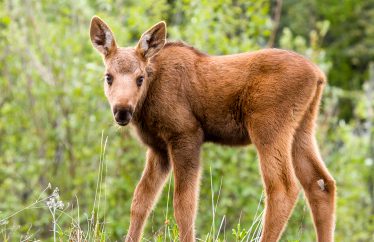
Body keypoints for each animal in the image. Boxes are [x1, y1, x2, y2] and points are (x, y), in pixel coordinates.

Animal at [90, 17, 336, 242]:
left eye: (140, 78)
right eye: (108, 77)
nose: (122, 111)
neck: (147, 103)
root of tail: (319, 75)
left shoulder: (186, 135)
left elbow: (184, 203)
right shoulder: (158, 148)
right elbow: (141, 200)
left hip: (268, 126)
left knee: (282, 187)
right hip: (302, 128)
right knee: (321, 184)